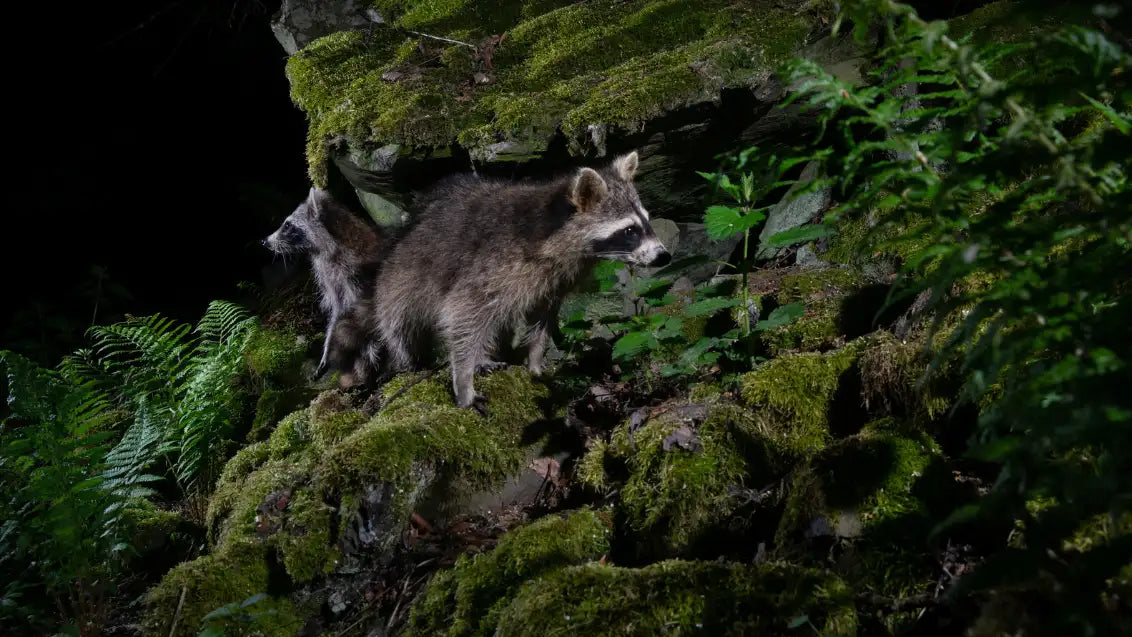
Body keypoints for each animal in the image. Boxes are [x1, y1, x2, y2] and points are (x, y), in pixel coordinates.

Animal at [262, 187, 388, 382]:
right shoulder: (333, 281)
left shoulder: (356, 275)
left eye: (288, 226)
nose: (265, 241)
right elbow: (337, 312)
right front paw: (327, 349)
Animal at [370, 150, 669, 414]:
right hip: (402, 276)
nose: (663, 256)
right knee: (401, 322)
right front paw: (464, 381)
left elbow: (543, 319)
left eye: (647, 221)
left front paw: (534, 361)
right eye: (629, 230)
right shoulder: (494, 265)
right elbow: (463, 313)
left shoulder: (552, 281)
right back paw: (409, 360)